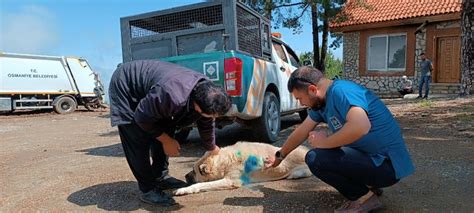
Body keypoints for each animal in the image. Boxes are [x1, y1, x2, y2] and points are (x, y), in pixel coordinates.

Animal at [174, 142, 312, 196]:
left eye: (194, 171)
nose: (185, 176)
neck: (225, 159)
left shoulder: (230, 181)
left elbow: (201, 184)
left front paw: (184, 189)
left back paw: (295, 174)